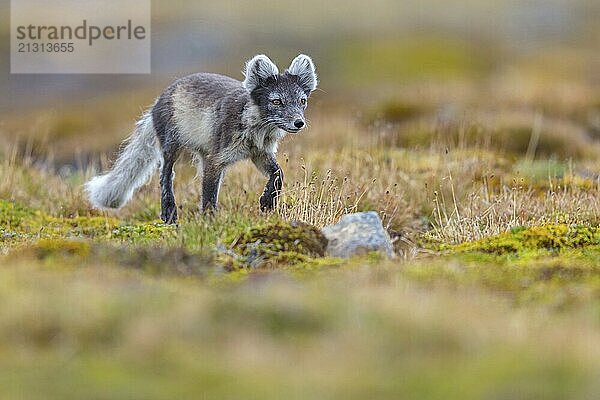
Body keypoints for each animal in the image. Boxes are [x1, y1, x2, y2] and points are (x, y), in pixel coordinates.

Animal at [85, 53, 318, 223]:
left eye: (302, 100)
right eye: (277, 101)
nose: (299, 123)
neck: (254, 130)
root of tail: (157, 100)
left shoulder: (259, 154)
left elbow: (278, 175)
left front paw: (267, 201)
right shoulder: (217, 159)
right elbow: (208, 196)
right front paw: (209, 222)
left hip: (203, 155)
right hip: (172, 146)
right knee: (165, 176)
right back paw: (169, 212)